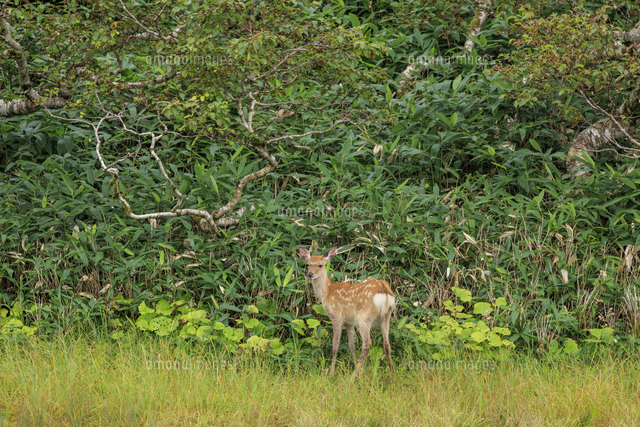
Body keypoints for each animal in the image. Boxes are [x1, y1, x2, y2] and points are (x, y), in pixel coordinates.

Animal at [298, 247, 395, 376]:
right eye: (308, 264)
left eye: (320, 265)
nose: (310, 274)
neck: (327, 293)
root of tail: (384, 290)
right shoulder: (349, 323)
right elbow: (351, 346)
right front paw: (358, 368)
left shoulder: (336, 316)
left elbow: (335, 346)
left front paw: (331, 373)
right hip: (386, 315)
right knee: (386, 343)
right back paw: (391, 373)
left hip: (365, 316)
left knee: (367, 343)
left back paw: (353, 376)